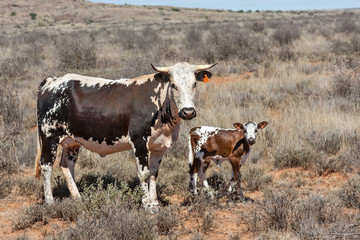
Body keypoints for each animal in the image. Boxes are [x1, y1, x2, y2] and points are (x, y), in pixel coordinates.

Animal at [35, 62, 217, 210]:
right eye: (173, 85)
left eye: (194, 84)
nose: (188, 112)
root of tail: (52, 81)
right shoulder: (139, 142)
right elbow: (143, 173)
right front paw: (147, 205)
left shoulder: (159, 146)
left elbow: (153, 173)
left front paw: (155, 202)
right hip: (49, 137)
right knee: (46, 165)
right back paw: (50, 202)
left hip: (71, 142)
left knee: (66, 166)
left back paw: (78, 198)